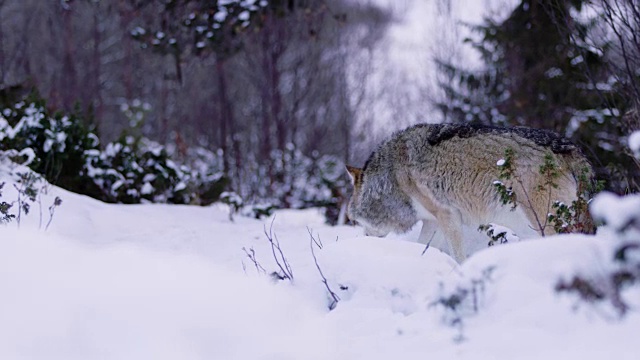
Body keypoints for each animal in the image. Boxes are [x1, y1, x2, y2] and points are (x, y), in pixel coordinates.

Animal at [348, 123, 592, 262]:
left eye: (354, 221)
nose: (363, 240)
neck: (391, 177)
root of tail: (571, 148)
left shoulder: (449, 217)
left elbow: (458, 256)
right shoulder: (433, 222)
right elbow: (423, 247)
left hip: (546, 222)